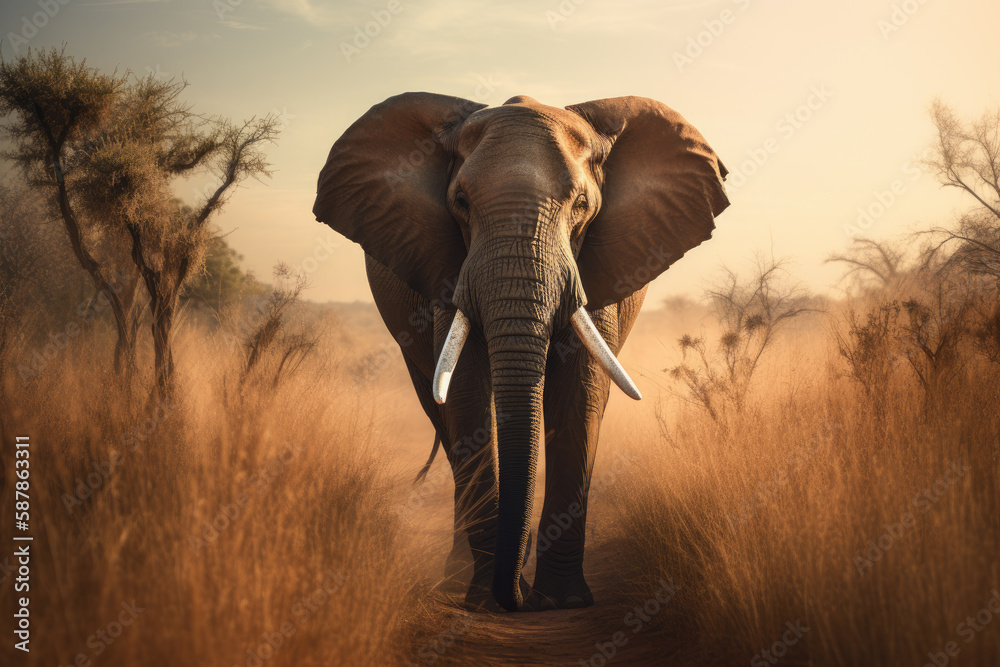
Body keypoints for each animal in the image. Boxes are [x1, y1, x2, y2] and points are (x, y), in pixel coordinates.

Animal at [313, 93, 729, 612]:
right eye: (461, 203)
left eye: (582, 206)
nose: (513, 598)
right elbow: (466, 392)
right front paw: (485, 600)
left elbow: (580, 394)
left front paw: (562, 601)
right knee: (441, 414)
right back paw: (458, 579)